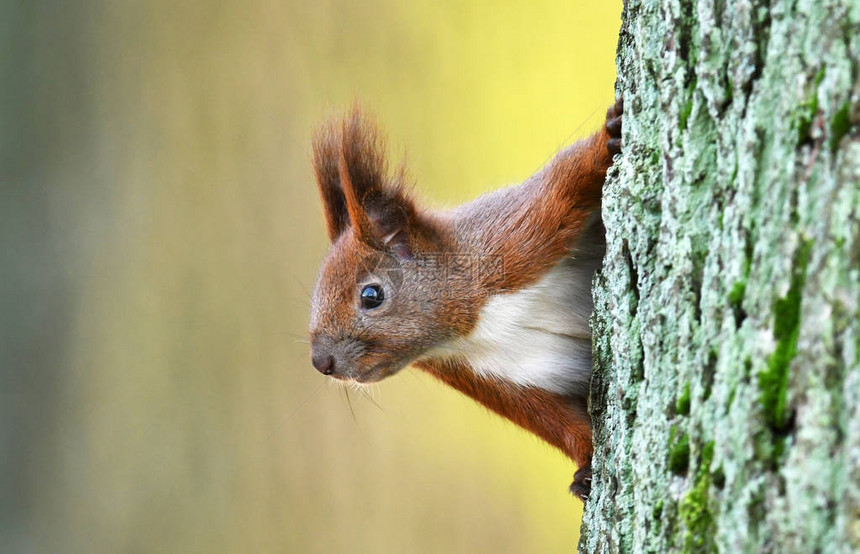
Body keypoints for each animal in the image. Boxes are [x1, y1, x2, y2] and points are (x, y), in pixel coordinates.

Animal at [306, 99, 620, 500]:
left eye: (371, 296)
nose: (321, 362)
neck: (472, 324)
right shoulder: (483, 377)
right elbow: (555, 420)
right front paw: (585, 466)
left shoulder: (517, 237)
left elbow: (569, 178)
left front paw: (609, 137)